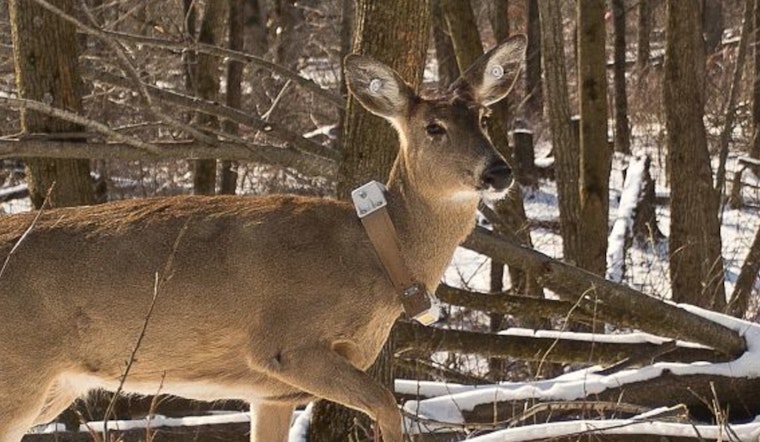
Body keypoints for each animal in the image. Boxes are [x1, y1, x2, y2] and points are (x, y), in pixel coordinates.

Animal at [0, 35, 525, 442]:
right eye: (434, 128)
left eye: (483, 119)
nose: (499, 171)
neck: (376, 255)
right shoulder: (286, 343)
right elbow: (387, 404)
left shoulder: (269, 392)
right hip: (18, 371)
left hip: (55, 386)